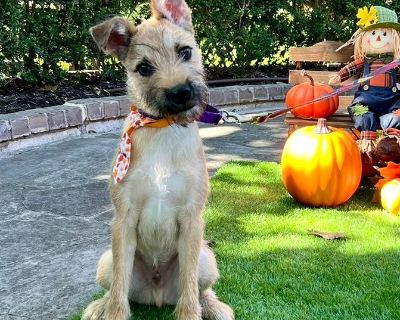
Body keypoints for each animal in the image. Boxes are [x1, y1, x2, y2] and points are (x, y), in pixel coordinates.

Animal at [83, 0, 236, 320]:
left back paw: (213, 306)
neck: (163, 128)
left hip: (207, 258)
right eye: (144, 68)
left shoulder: (191, 220)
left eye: (185, 51)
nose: (181, 93)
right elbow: (119, 292)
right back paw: (99, 306)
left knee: (200, 290)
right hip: (106, 261)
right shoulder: (124, 220)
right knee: (115, 288)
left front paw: (191, 313)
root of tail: (156, 294)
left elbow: (189, 290)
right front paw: (112, 312)